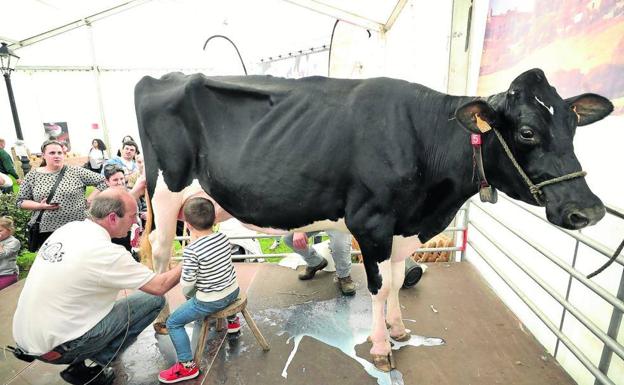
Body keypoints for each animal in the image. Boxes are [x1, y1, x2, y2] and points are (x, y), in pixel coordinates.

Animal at [135, 68, 608, 368]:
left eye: (573, 126)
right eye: (527, 132)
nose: (589, 210)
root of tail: (162, 77)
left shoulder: (403, 227)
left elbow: (398, 281)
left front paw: (399, 331)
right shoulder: (372, 223)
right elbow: (378, 288)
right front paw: (382, 348)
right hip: (166, 193)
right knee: (159, 252)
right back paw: (161, 316)